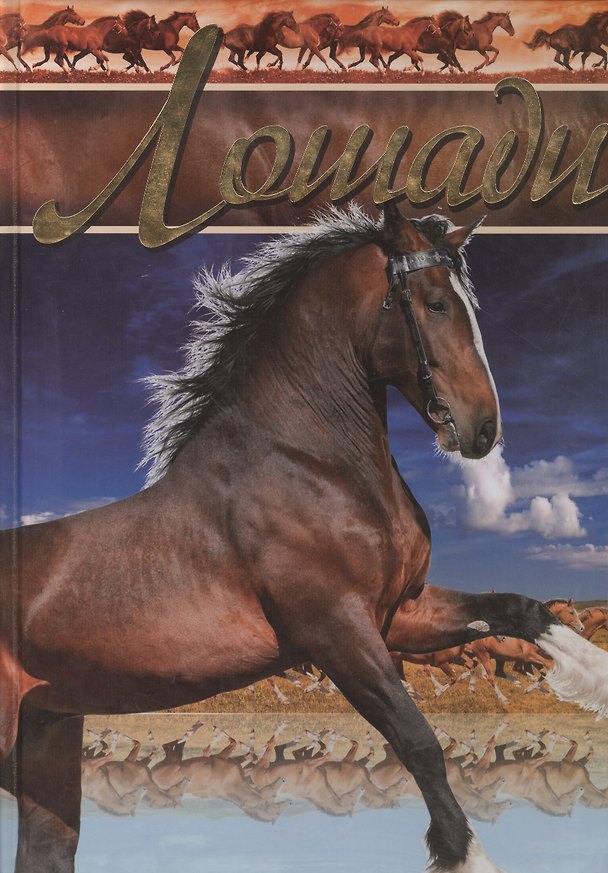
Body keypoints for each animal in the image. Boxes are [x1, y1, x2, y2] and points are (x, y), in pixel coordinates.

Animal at [2, 203, 608, 873]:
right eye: (433, 303)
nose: (483, 428)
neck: (313, 467)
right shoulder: (335, 629)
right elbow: (418, 740)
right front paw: (465, 856)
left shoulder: (400, 612)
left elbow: (520, 609)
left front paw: (595, 681)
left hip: (48, 744)